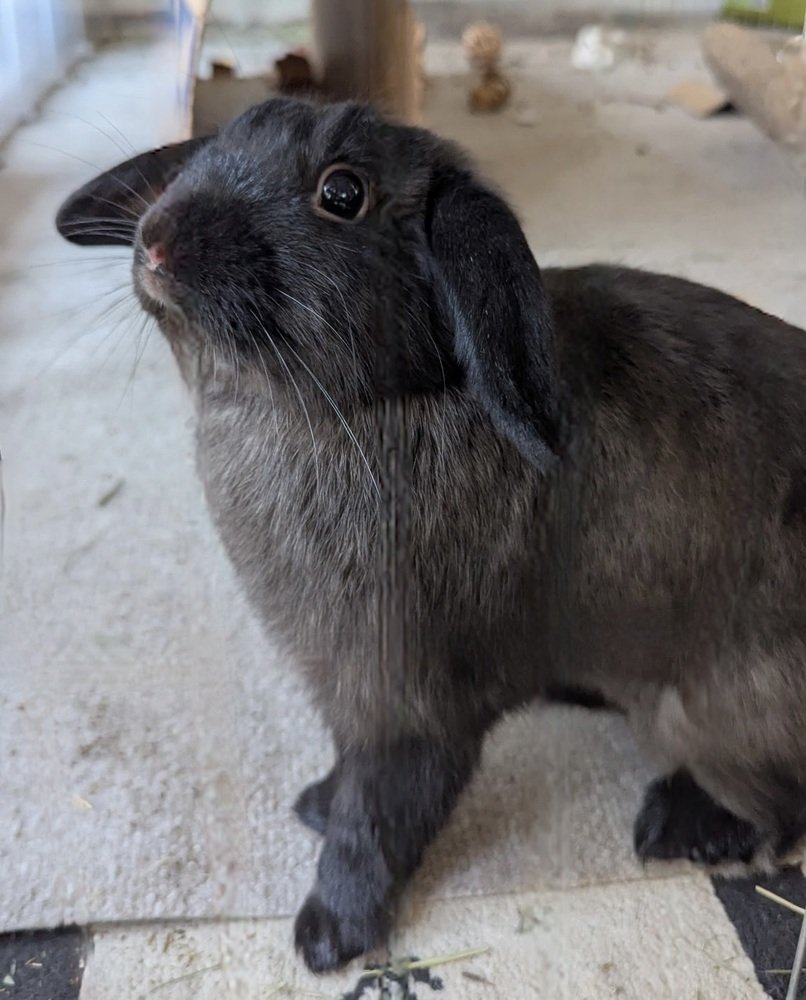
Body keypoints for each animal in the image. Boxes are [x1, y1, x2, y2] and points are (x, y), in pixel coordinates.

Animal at [55, 96, 806, 973]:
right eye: (234, 131)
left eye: (342, 194)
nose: (156, 241)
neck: (383, 402)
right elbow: (350, 780)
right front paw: (317, 803)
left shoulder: (404, 699)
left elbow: (379, 819)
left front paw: (328, 936)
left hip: (713, 715)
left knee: (777, 803)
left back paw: (680, 826)